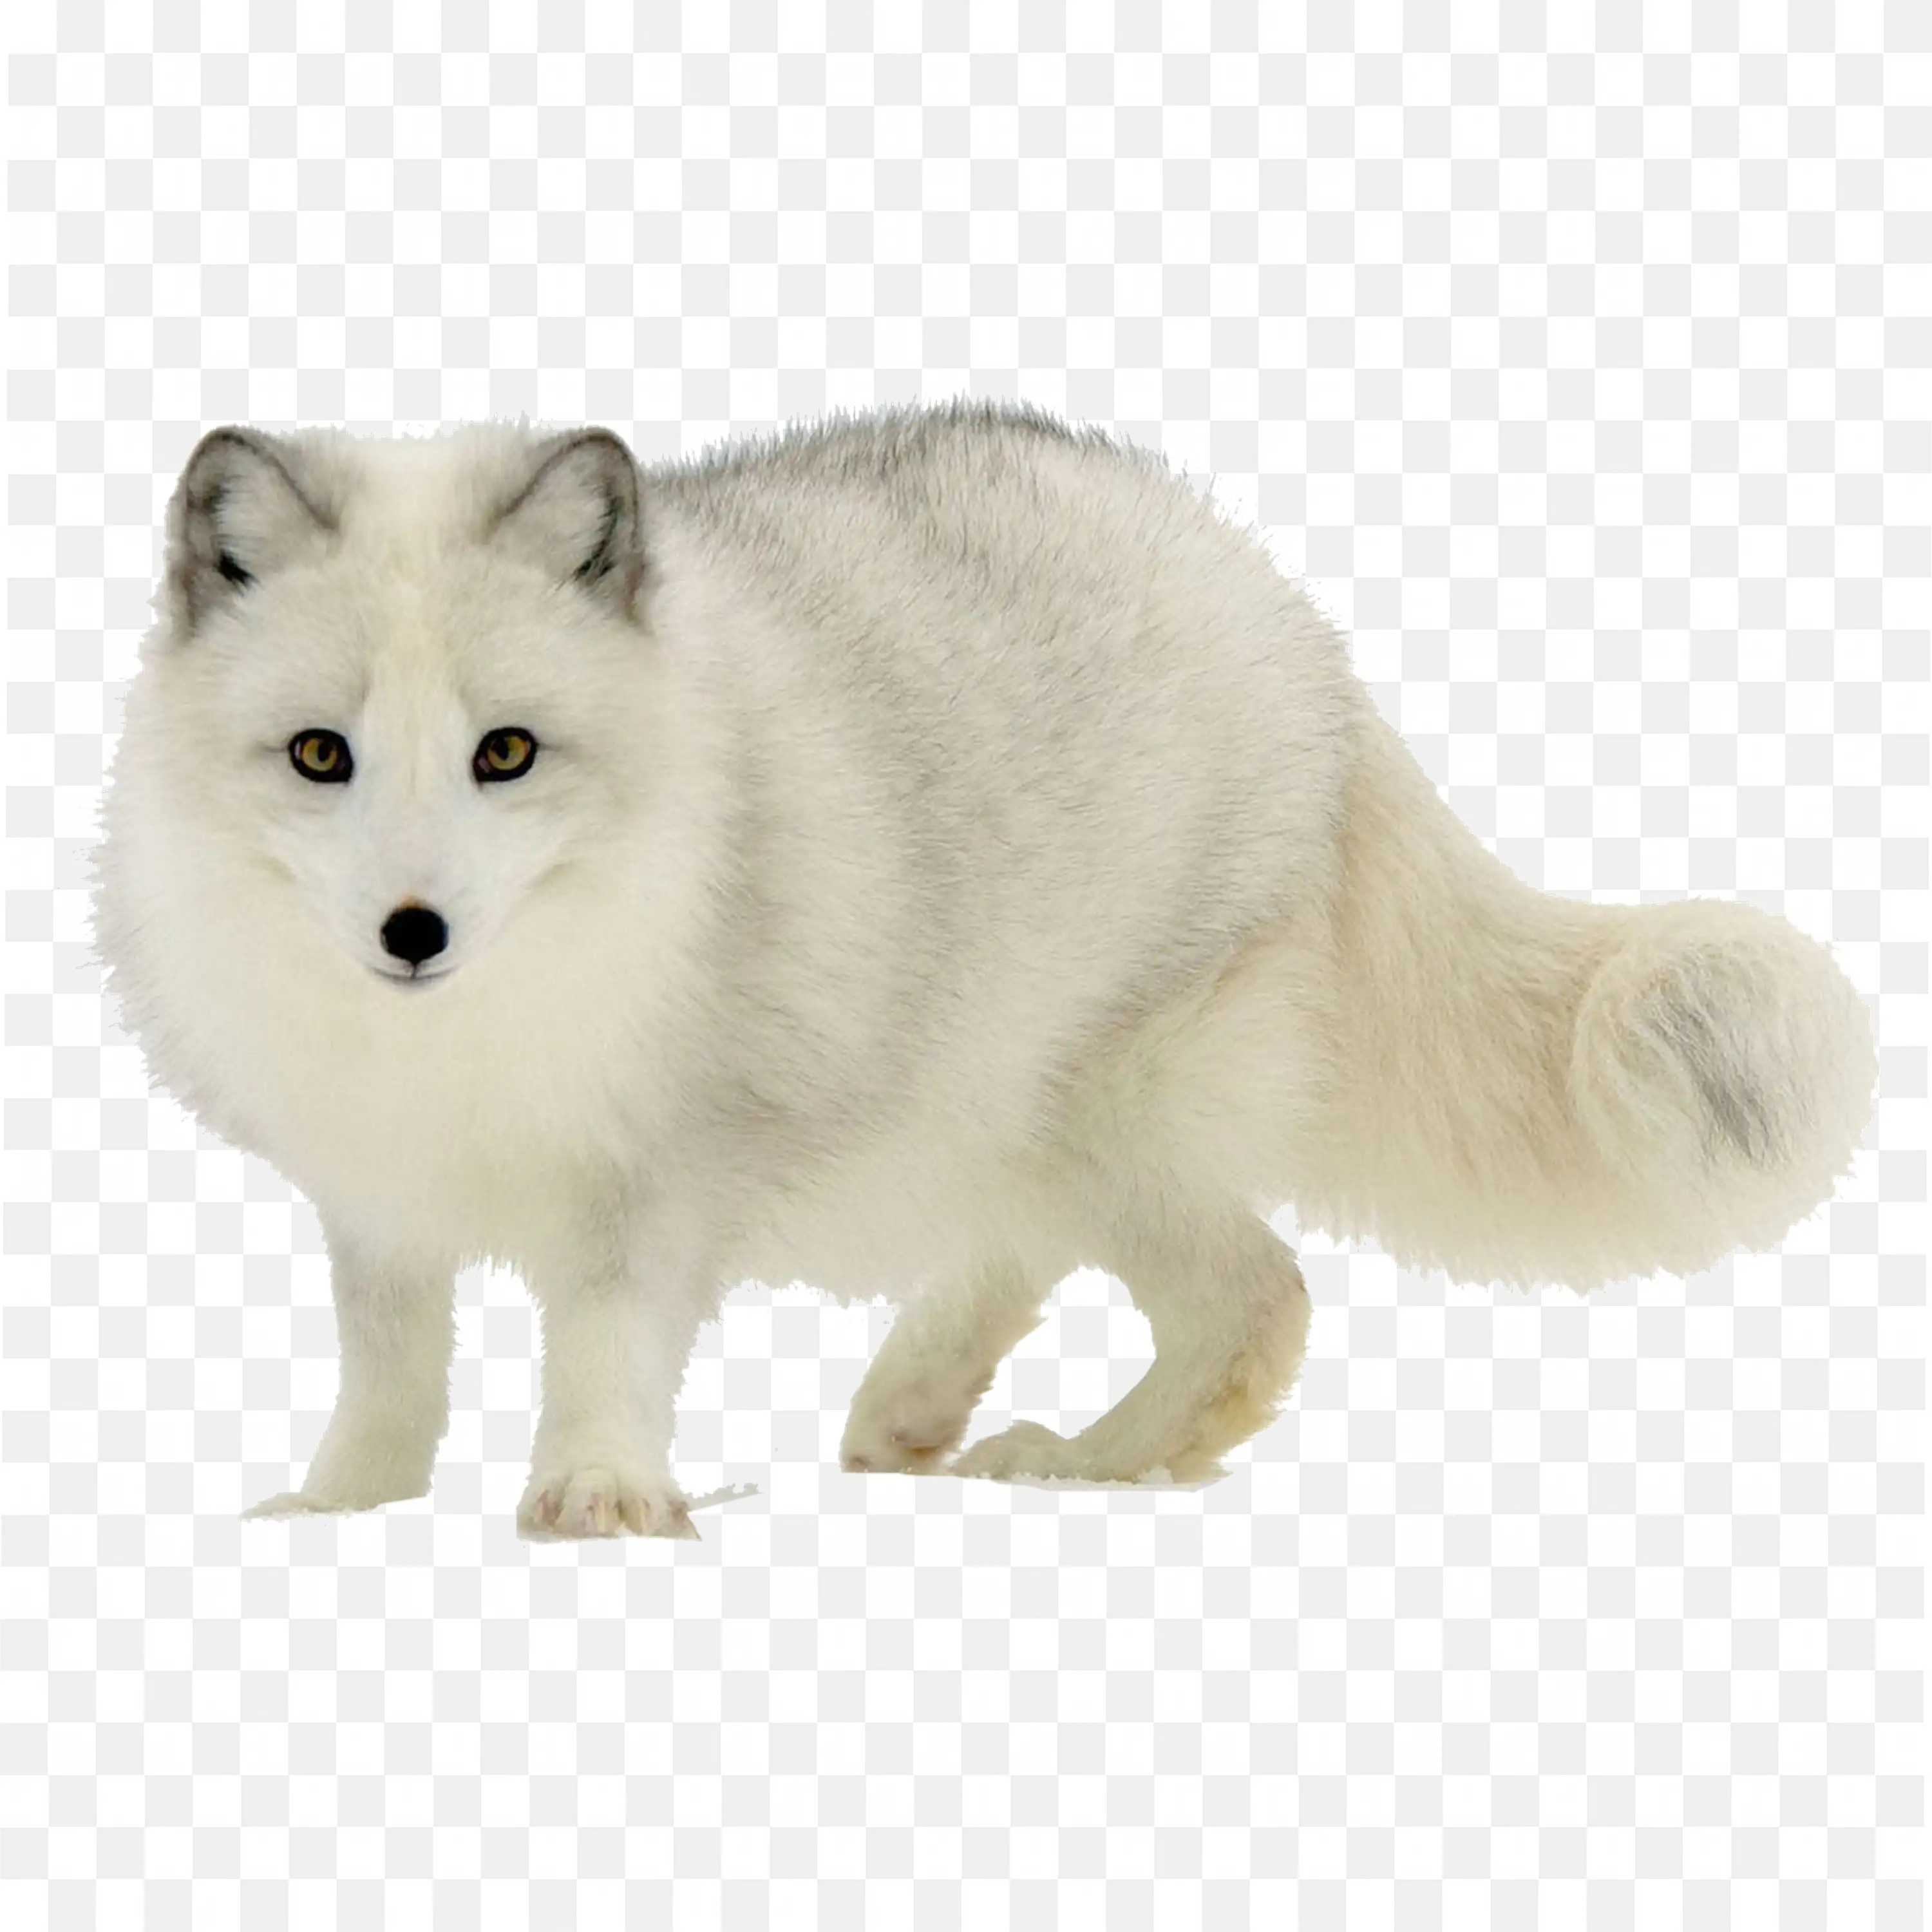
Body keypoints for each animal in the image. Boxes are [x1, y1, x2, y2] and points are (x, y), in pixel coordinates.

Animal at [89, 404, 1878, 1538]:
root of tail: (1281, 612)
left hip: (1103, 1104)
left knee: (1260, 1302)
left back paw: (1080, 1466)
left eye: (506, 752)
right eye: (320, 753)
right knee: (1041, 1253)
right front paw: (342, 1507)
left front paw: (596, 1498)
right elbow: (390, 1365)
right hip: (999, 1098)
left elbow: (601, 1340)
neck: (470, 1029)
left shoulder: (665, 1163)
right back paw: (916, 1405)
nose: (414, 932)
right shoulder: (376, 1185)